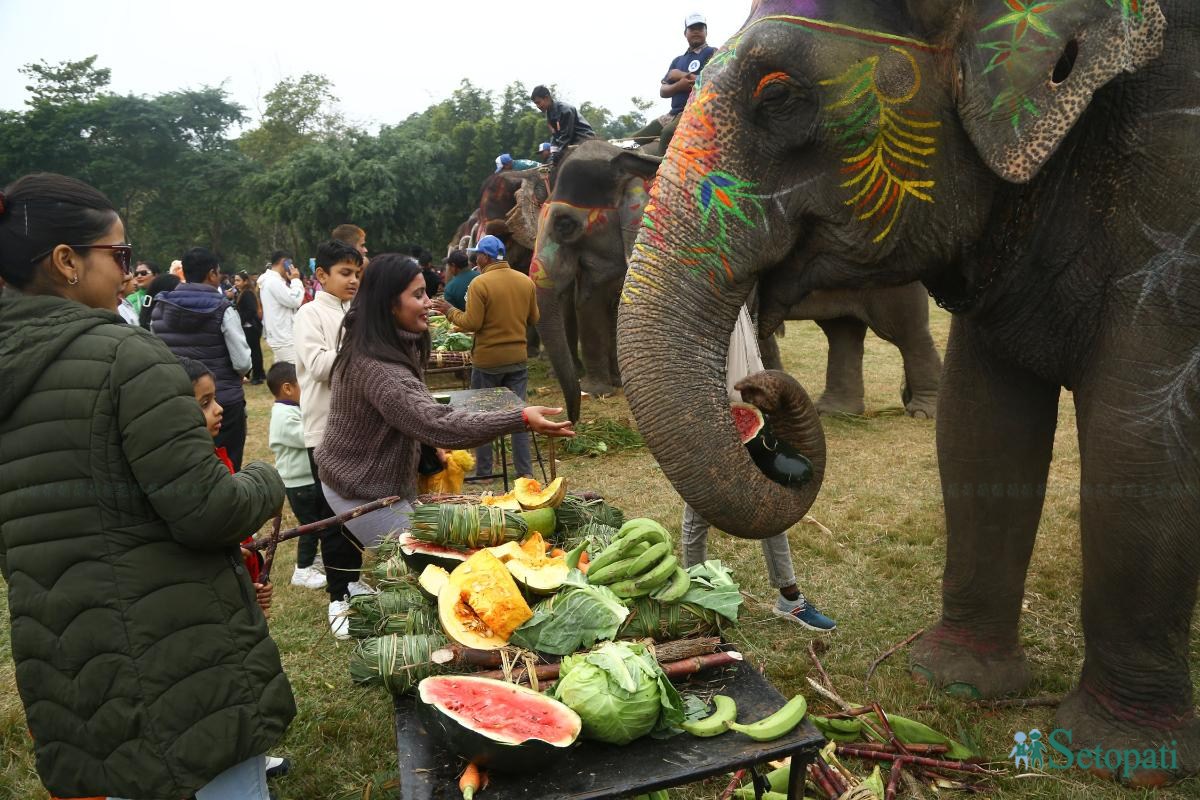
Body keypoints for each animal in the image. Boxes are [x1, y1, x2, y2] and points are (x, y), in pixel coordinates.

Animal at [614, 0, 1195, 782]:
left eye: (778, 96)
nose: (757, 388)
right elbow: (982, 425)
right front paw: (953, 682)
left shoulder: (1173, 213)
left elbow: (1140, 442)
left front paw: (1117, 759)